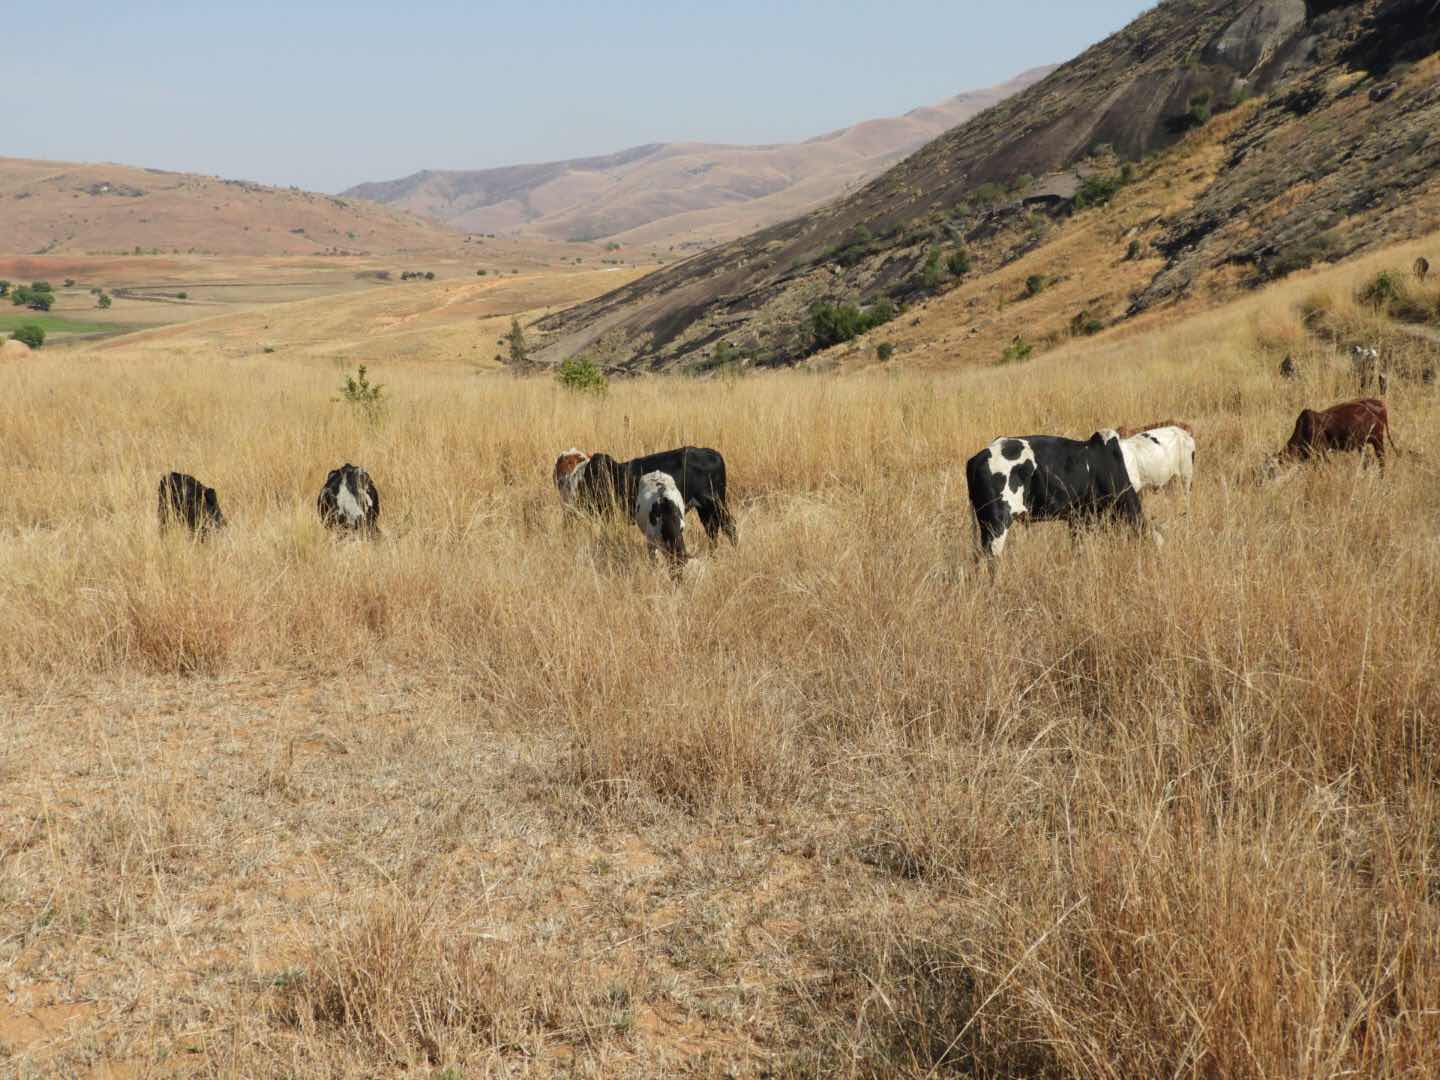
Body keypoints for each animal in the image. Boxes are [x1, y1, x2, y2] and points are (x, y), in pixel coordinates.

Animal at [547, 446, 737, 544]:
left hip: (715, 504)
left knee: (729, 527)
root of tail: (713, 454)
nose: (562, 481)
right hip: (705, 509)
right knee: (712, 530)